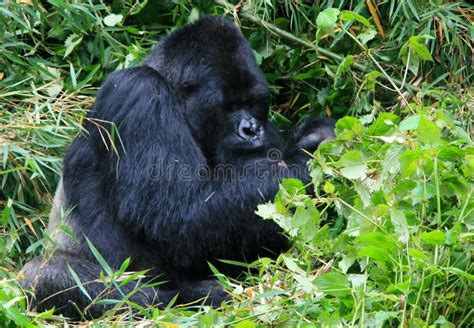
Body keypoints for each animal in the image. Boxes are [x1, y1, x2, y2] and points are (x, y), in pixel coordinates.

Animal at [20, 16, 336, 320]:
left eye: (253, 103)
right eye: (230, 106)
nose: (251, 130)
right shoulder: (139, 91)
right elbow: (181, 216)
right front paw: (308, 158)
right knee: (46, 276)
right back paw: (189, 297)